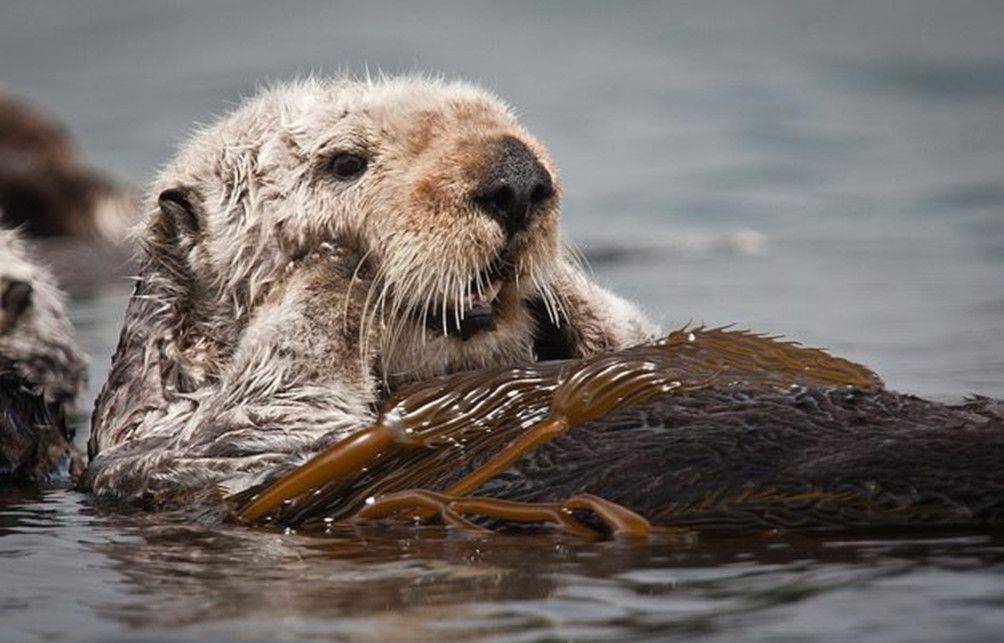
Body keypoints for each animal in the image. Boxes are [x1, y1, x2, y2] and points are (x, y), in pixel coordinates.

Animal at [84, 76, 650, 506]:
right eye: (345, 162)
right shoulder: (174, 448)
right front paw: (334, 266)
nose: (518, 179)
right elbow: (266, 415)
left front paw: (565, 289)